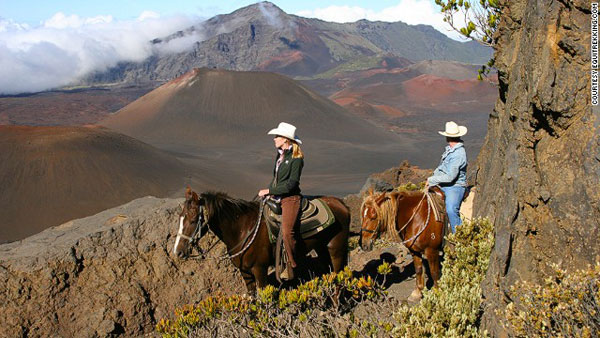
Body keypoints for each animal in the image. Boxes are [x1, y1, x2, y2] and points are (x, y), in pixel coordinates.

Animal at [173, 187, 352, 294]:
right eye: (180, 217)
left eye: (193, 220)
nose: (178, 252)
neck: (242, 229)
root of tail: (342, 204)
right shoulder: (245, 272)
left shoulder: (259, 269)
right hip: (322, 249)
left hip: (336, 249)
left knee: (338, 277)